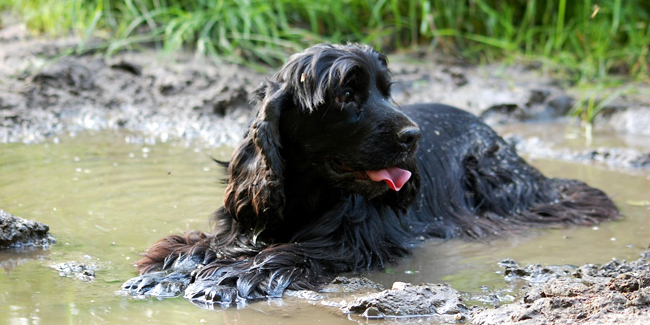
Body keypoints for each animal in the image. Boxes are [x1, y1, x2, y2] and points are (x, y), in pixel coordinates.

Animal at [121, 43, 616, 306]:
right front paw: (166, 272)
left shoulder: (351, 241)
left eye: (387, 90)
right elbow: (203, 245)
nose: (414, 136)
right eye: (346, 93)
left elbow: (288, 253)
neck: (308, 194)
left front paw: (227, 278)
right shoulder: (249, 220)